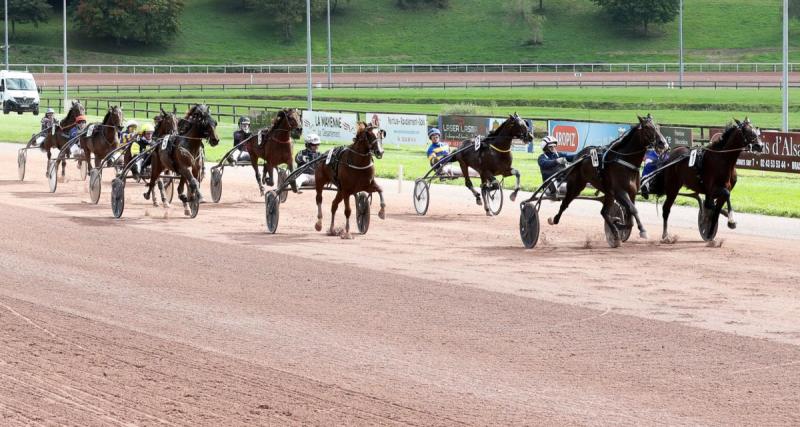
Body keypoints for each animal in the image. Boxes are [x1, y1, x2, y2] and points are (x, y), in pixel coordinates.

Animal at [544, 114, 668, 247]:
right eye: (647, 128)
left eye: (657, 127)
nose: (663, 143)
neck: (625, 161)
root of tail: (579, 156)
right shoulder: (620, 192)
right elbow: (633, 210)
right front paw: (642, 231)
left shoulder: (632, 193)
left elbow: (630, 217)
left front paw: (619, 225)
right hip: (576, 186)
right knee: (565, 203)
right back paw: (554, 219)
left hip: (608, 193)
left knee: (604, 212)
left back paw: (615, 233)